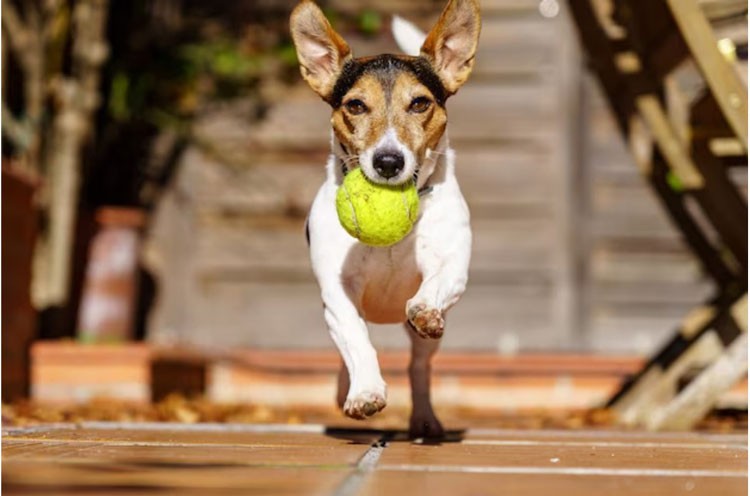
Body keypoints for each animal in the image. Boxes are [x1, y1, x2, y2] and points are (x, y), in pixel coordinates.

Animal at [290, 0, 482, 438]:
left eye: (420, 103)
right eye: (356, 105)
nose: (389, 161)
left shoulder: (452, 265)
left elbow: (434, 286)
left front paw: (424, 308)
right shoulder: (337, 293)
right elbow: (356, 339)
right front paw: (365, 392)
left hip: (427, 345)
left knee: (418, 367)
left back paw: (425, 419)